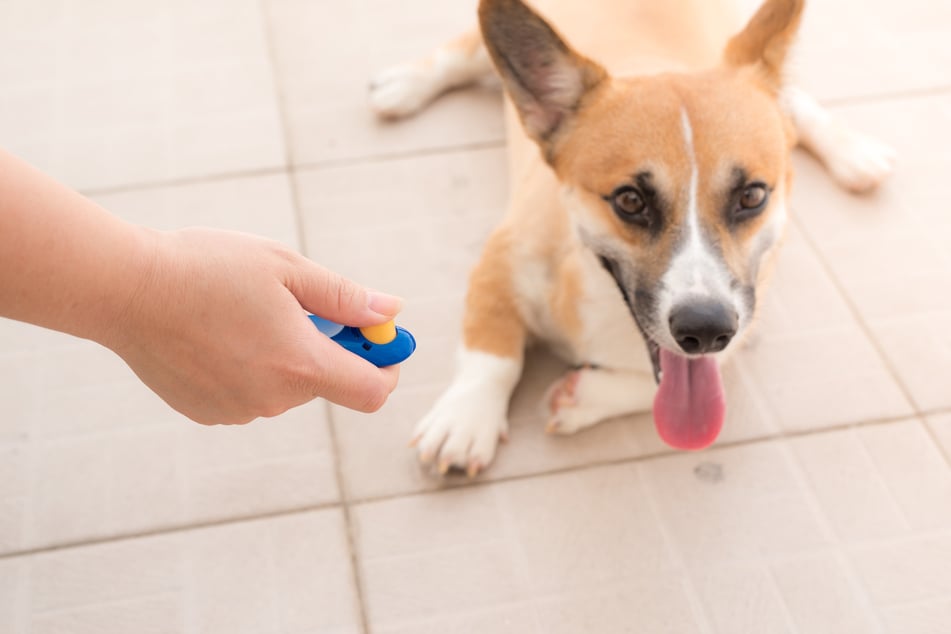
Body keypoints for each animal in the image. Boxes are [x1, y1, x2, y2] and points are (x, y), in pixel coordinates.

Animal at [368, 0, 896, 474]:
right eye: (630, 201)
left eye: (751, 196)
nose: (705, 330)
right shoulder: (501, 259)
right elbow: (492, 351)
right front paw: (465, 420)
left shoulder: (744, 319)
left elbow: (666, 381)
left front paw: (580, 397)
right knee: (466, 49)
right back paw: (404, 86)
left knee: (795, 100)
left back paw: (853, 154)